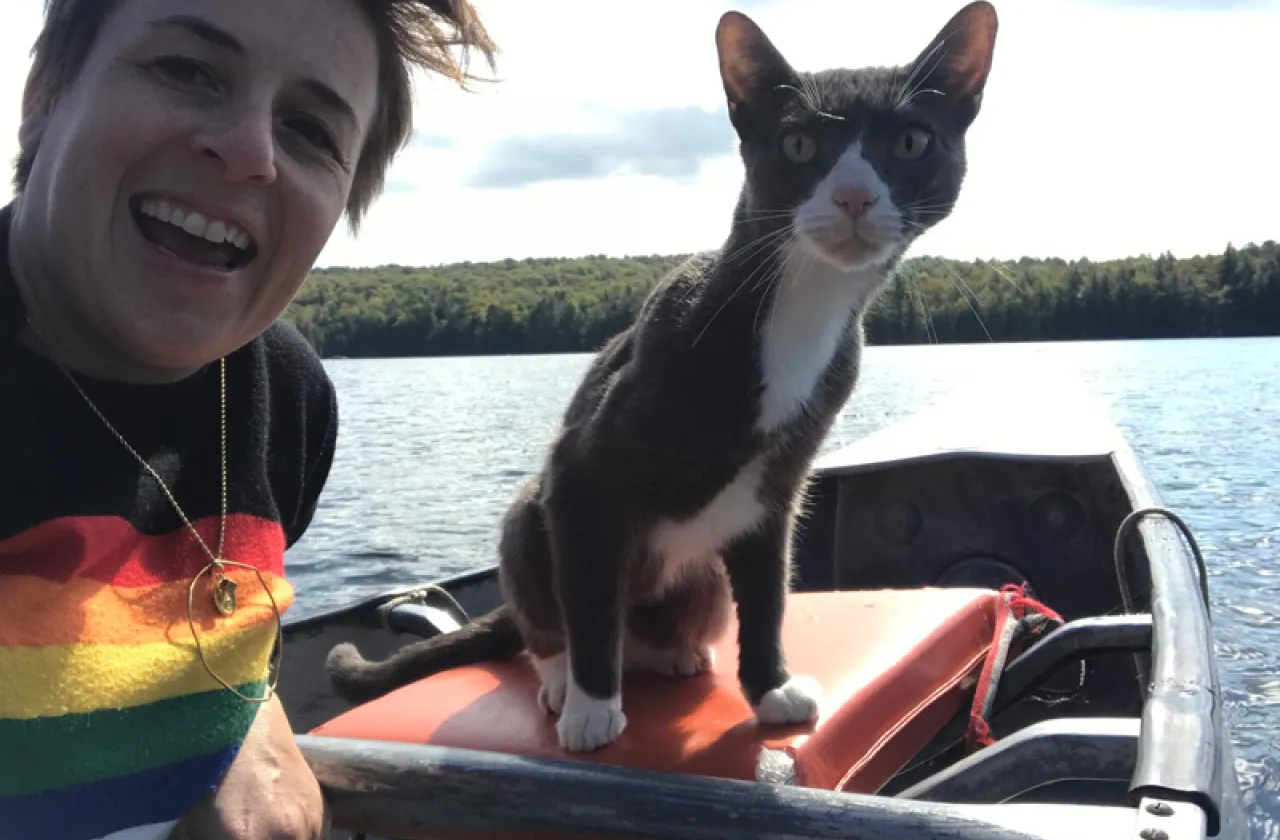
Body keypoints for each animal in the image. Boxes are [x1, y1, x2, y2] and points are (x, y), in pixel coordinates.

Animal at [327, 0, 998, 752]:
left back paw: (677, 652)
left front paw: (771, 689)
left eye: (911, 143)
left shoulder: (779, 487)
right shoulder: (584, 473)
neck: (801, 307)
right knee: (541, 608)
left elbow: (767, 590)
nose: (854, 196)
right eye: (798, 146)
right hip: (530, 516)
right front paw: (592, 707)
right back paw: (561, 678)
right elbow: (589, 591)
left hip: (700, 580)